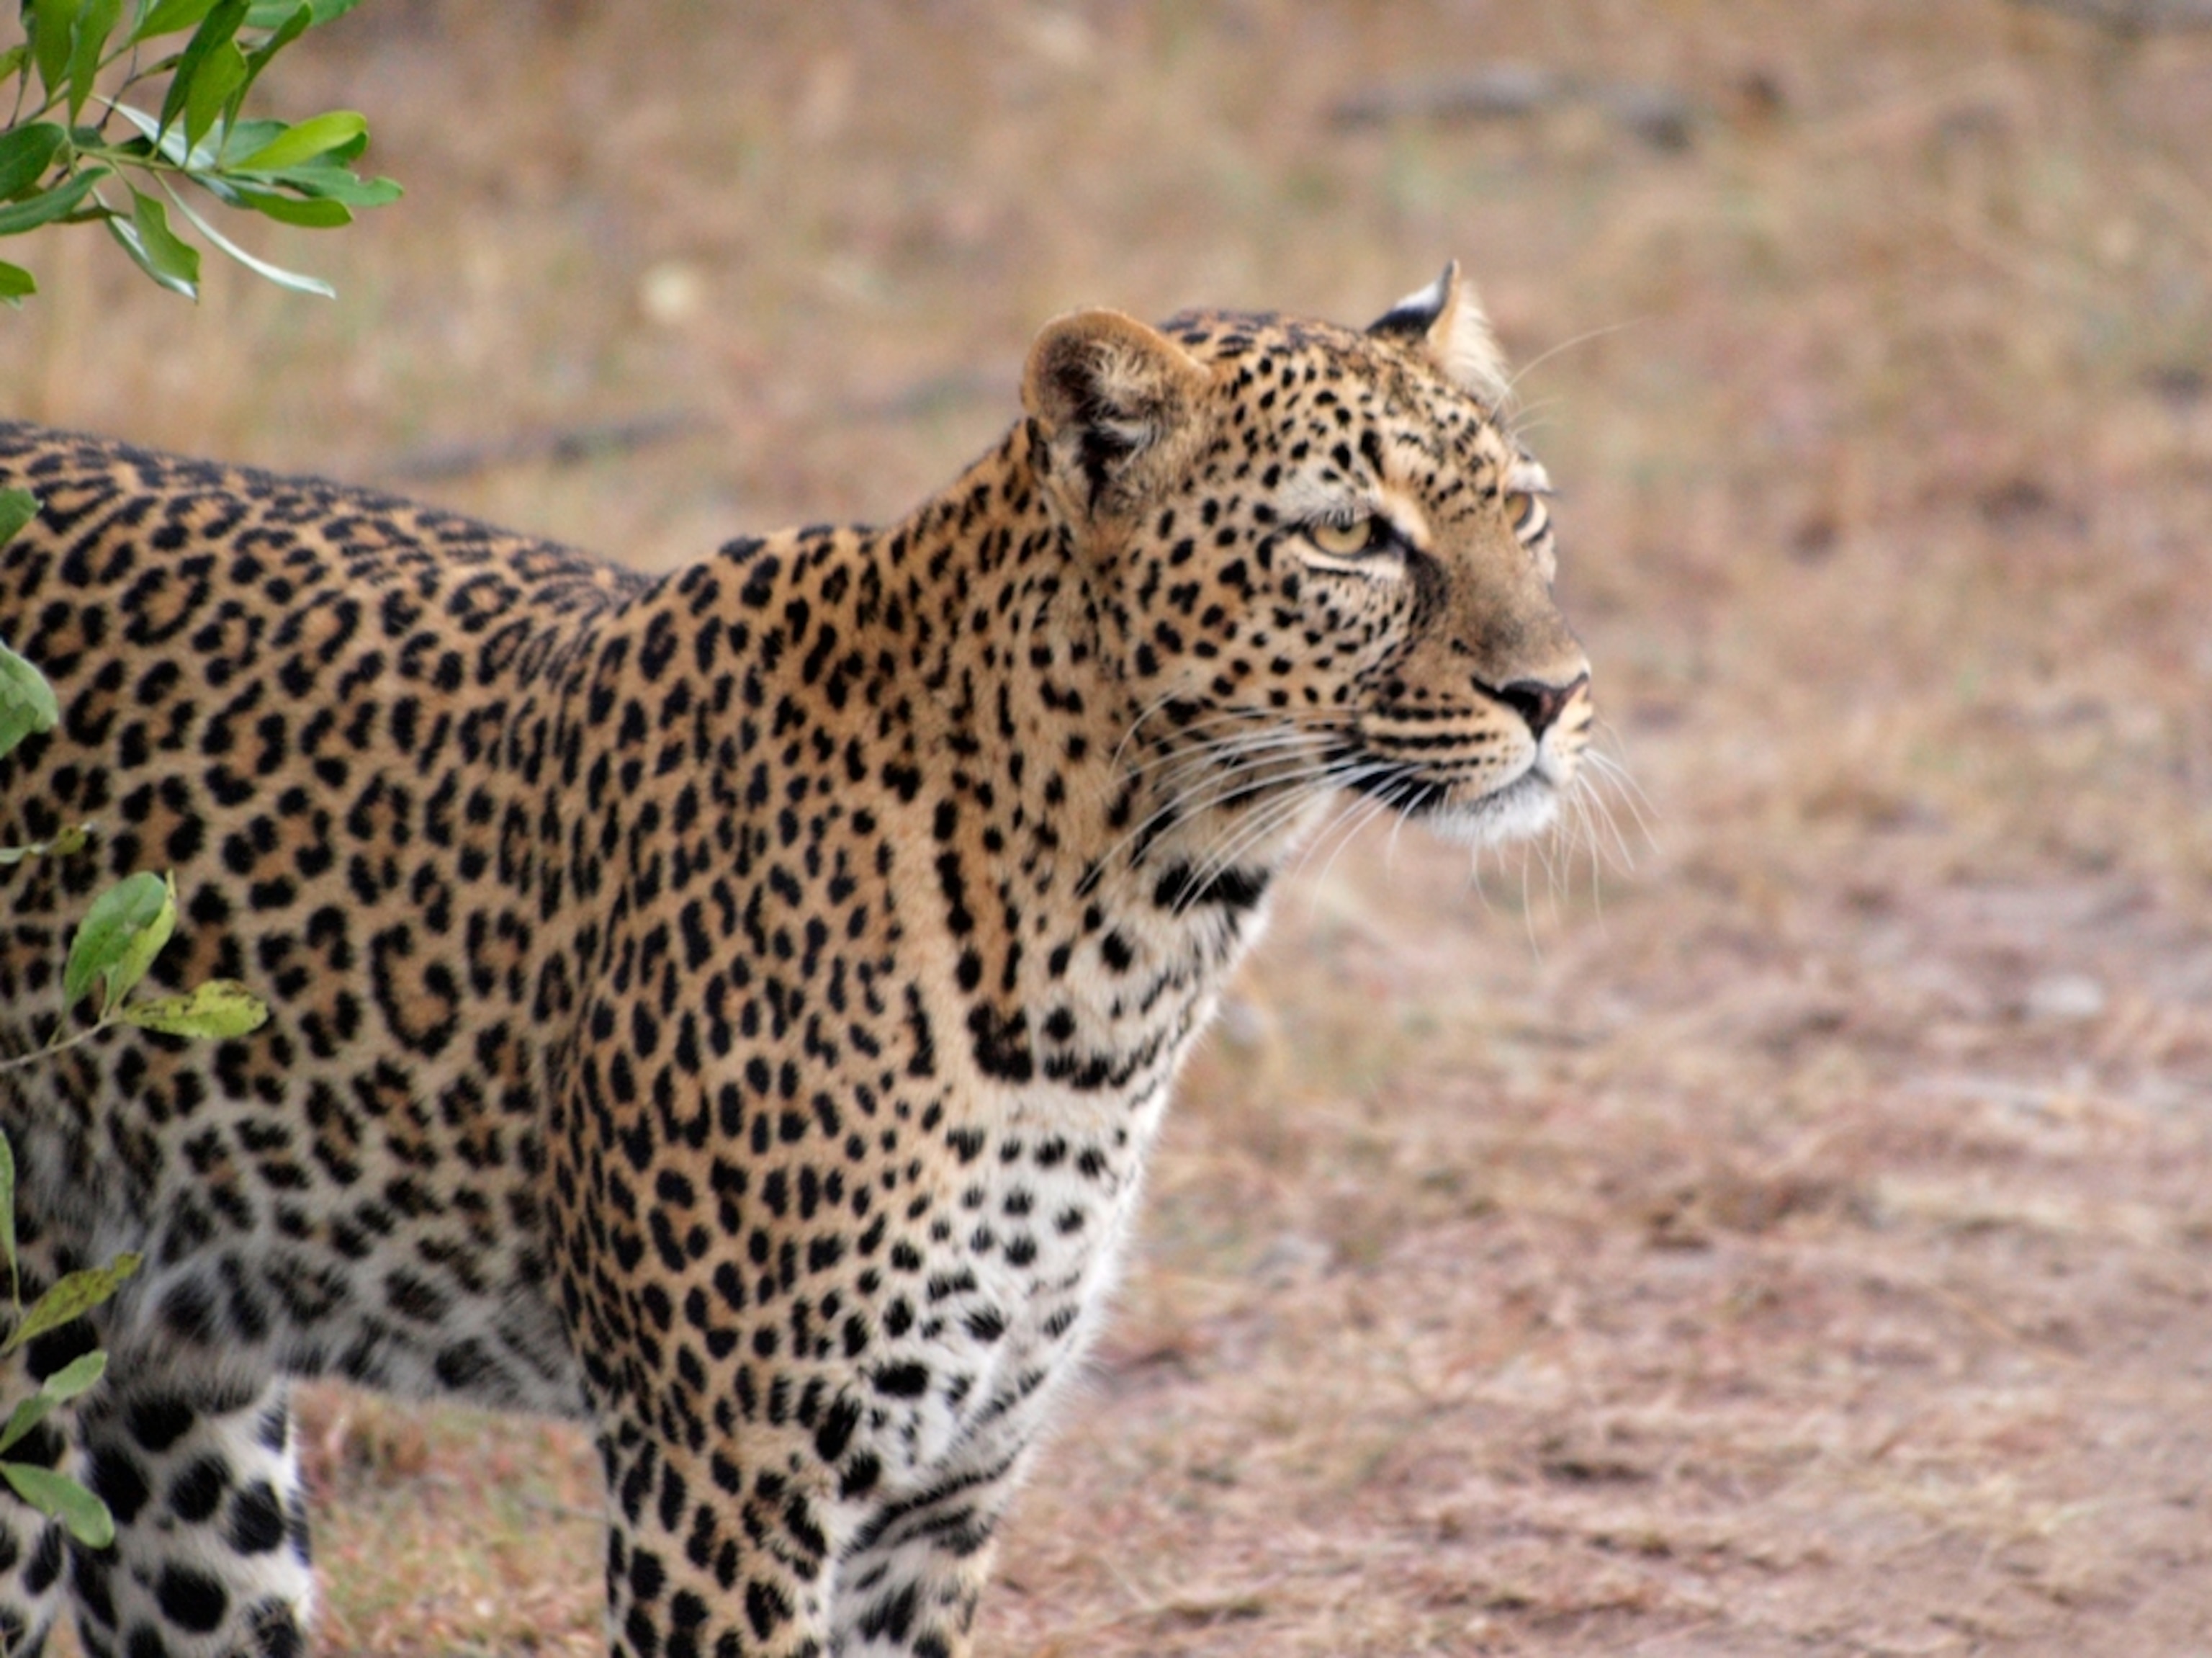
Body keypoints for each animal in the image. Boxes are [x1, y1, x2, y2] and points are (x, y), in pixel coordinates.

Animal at [0, 263, 1592, 1658]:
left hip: (180, 1417)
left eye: (1524, 511)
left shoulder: (947, 1490)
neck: (1133, 939)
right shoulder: (724, 1470)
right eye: (1350, 537)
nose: (1556, 692)